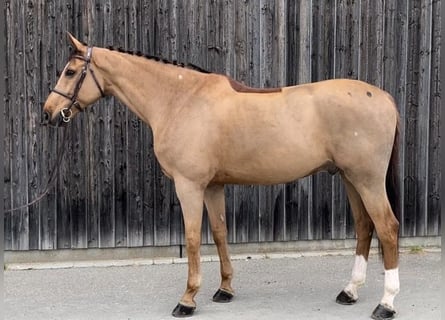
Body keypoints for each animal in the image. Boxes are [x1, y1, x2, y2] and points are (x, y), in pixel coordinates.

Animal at [43, 33, 400, 320]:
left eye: (70, 71)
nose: (49, 113)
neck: (180, 99)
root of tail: (384, 97)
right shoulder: (213, 186)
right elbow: (219, 233)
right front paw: (225, 289)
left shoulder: (189, 185)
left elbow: (191, 238)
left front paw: (187, 299)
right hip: (350, 178)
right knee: (364, 227)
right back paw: (350, 291)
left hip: (367, 180)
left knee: (387, 229)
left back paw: (386, 304)